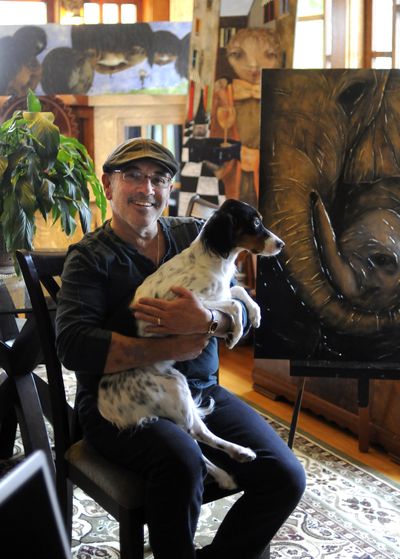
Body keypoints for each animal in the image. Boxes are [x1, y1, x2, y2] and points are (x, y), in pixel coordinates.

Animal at [97, 199, 284, 488]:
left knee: (197, 439)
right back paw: (241, 452)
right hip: (170, 387)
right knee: (196, 432)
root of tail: (106, 406)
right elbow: (231, 303)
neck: (211, 261)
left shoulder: (220, 290)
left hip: (176, 381)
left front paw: (254, 314)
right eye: (255, 223)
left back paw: (226, 472)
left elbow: (239, 291)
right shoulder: (186, 302)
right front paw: (236, 333)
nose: (281, 244)